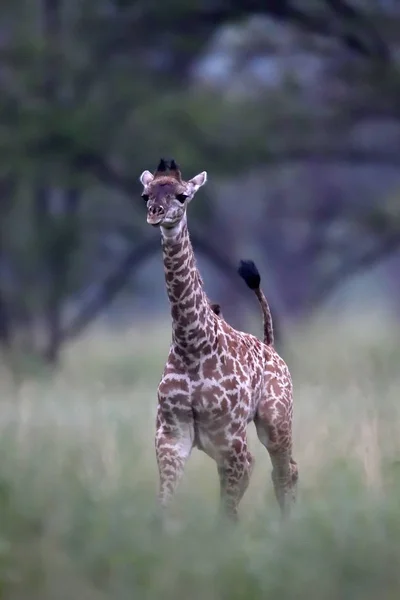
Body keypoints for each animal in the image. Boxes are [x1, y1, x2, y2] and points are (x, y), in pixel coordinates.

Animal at [138, 158, 296, 520]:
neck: (192, 344)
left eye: (182, 196)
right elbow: (163, 504)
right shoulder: (171, 434)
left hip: (275, 420)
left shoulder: (229, 438)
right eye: (145, 195)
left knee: (286, 471)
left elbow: (226, 511)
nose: (155, 214)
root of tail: (271, 347)